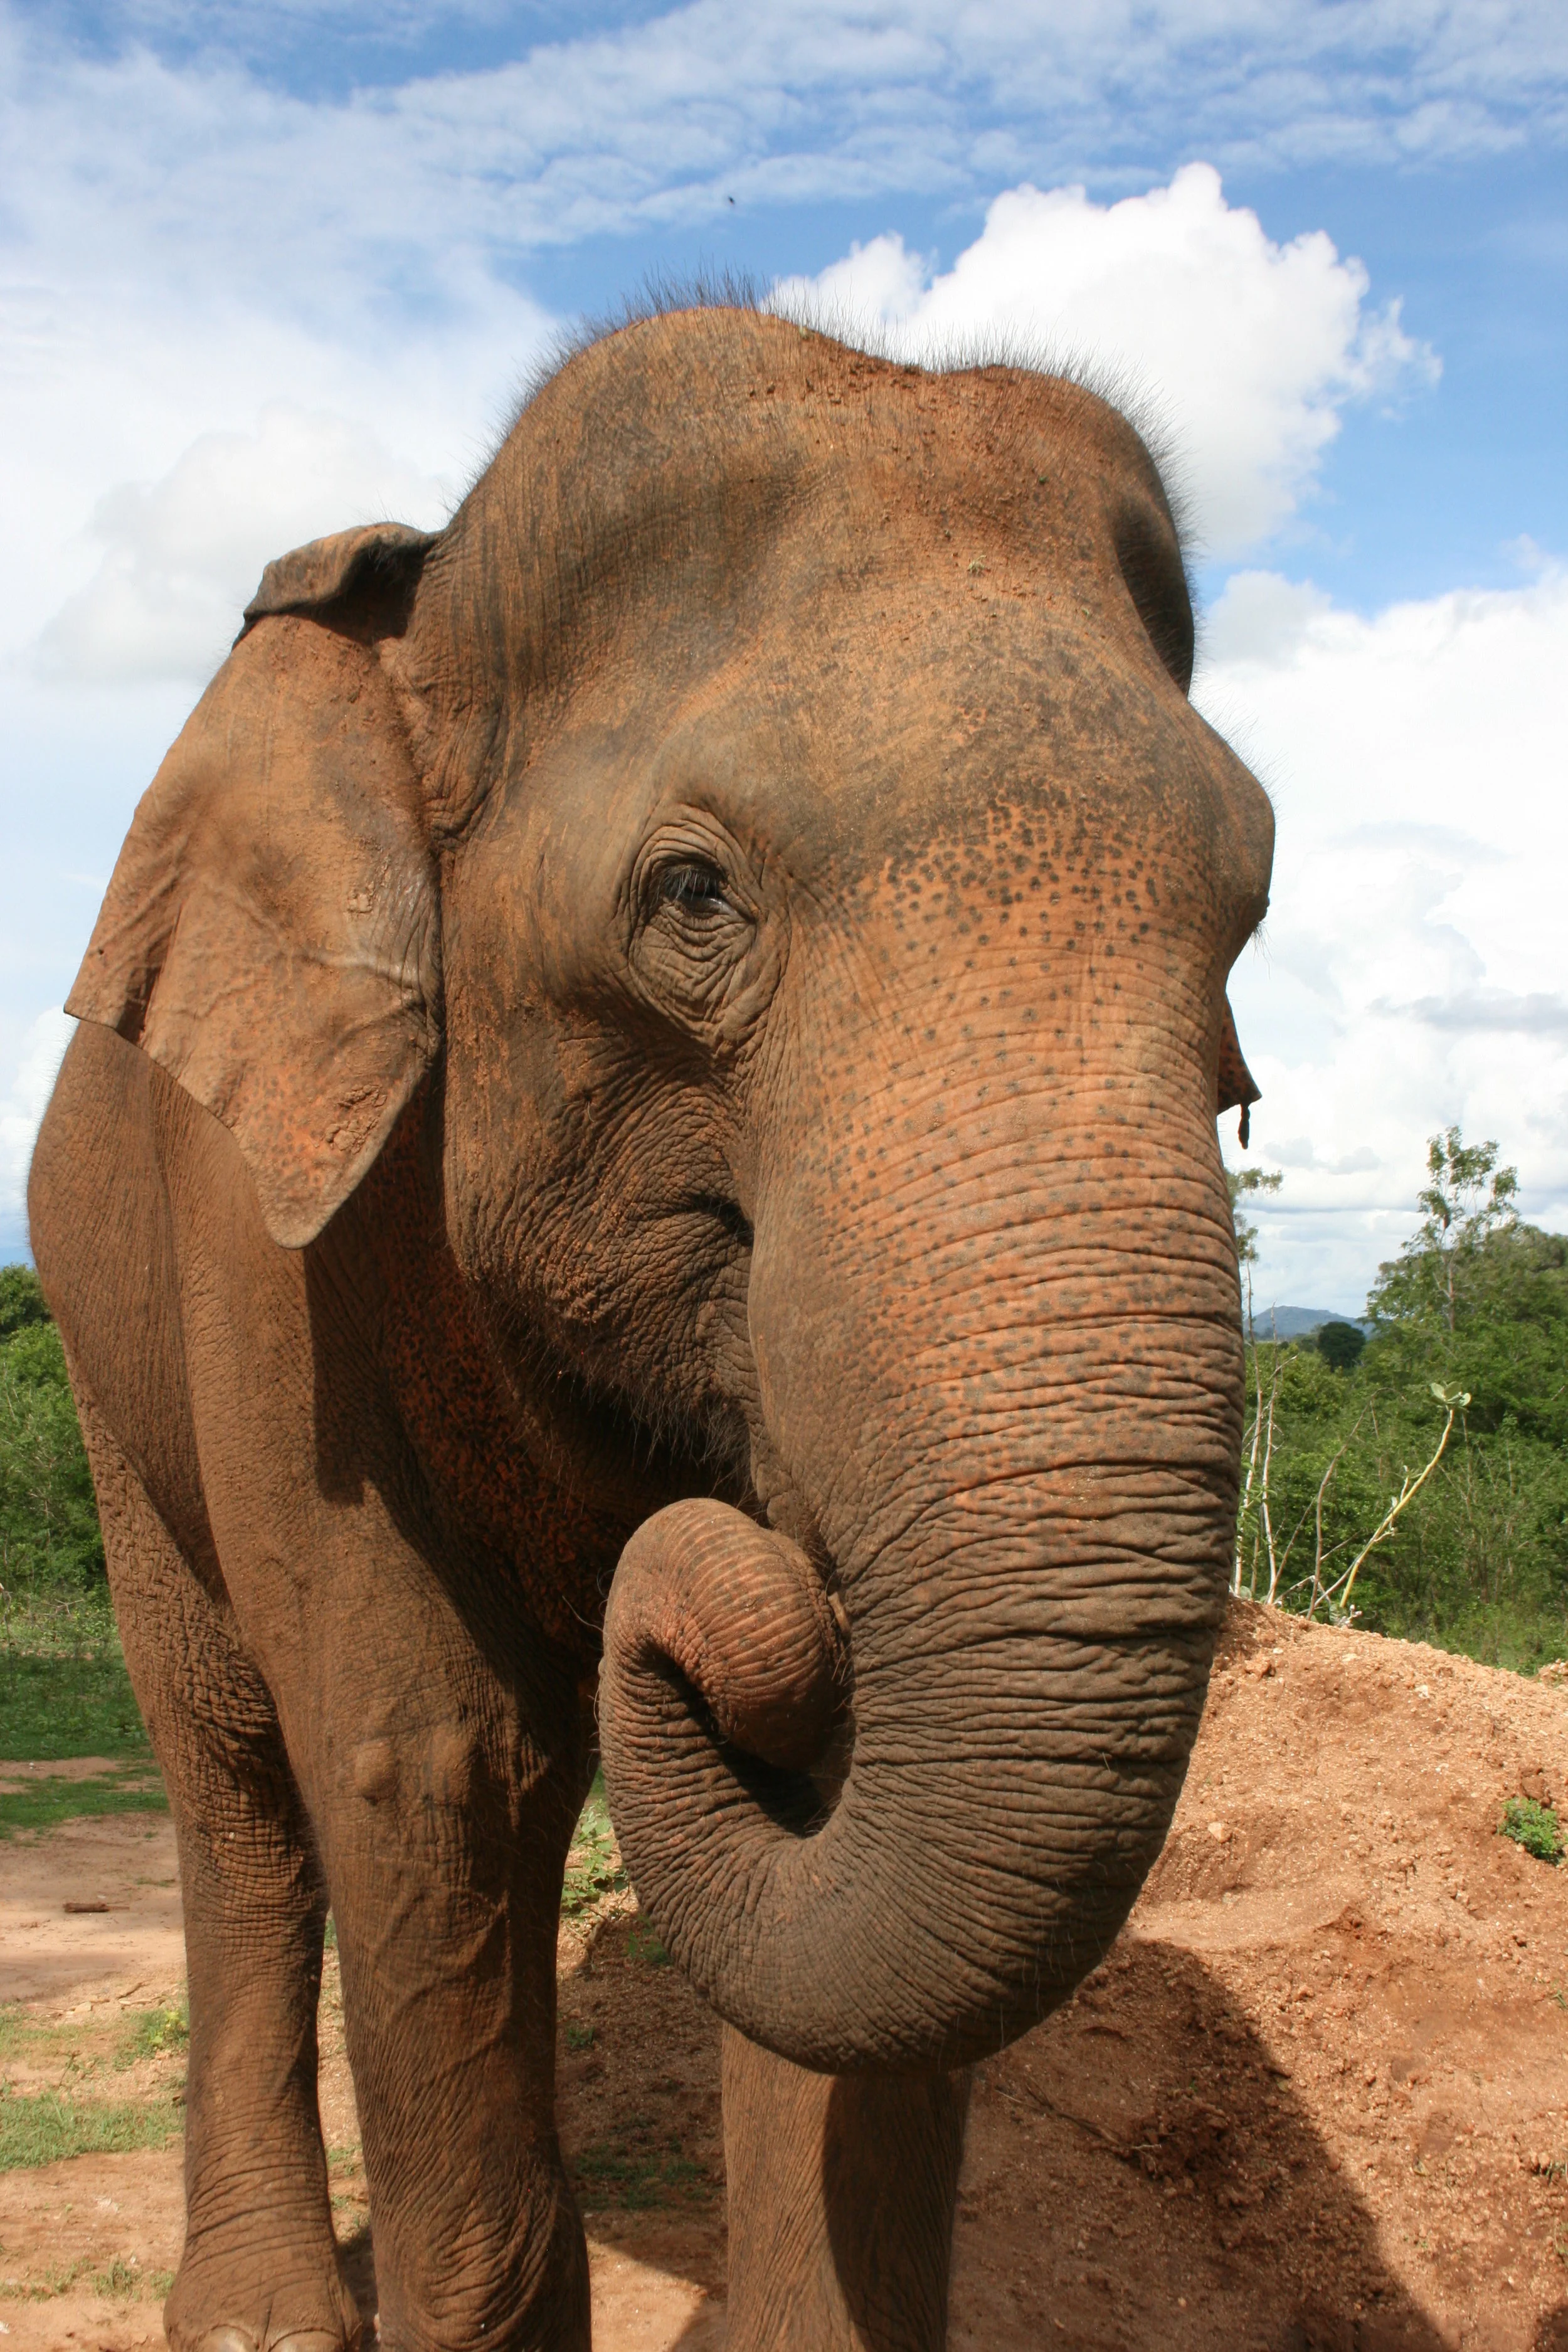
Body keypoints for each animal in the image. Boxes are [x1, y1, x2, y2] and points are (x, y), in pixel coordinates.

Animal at [29, 303, 1271, 2352]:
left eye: (1246, 917)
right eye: (692, 896)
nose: (731, 1574)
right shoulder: (270, 1240)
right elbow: (428, 1753)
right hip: (97, 1341)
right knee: (241, 1776)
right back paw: (259, 2315)